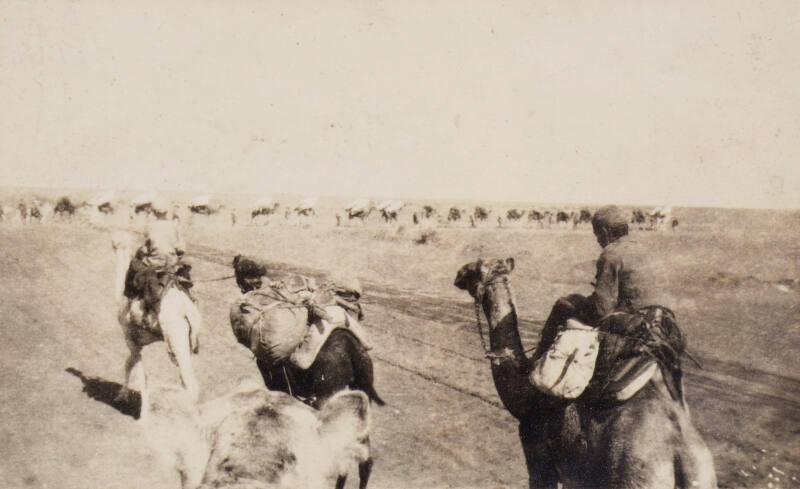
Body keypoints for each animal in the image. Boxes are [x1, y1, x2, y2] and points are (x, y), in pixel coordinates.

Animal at [111, 231, 202, 410]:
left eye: (118, 239)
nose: (112, 241)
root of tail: (188, 311)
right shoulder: (140, 340)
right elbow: (129, 363)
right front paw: (122, 396)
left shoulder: (129, 336)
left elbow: (140, 372)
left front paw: (125, 399)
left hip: (176, 339)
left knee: (190, 383)